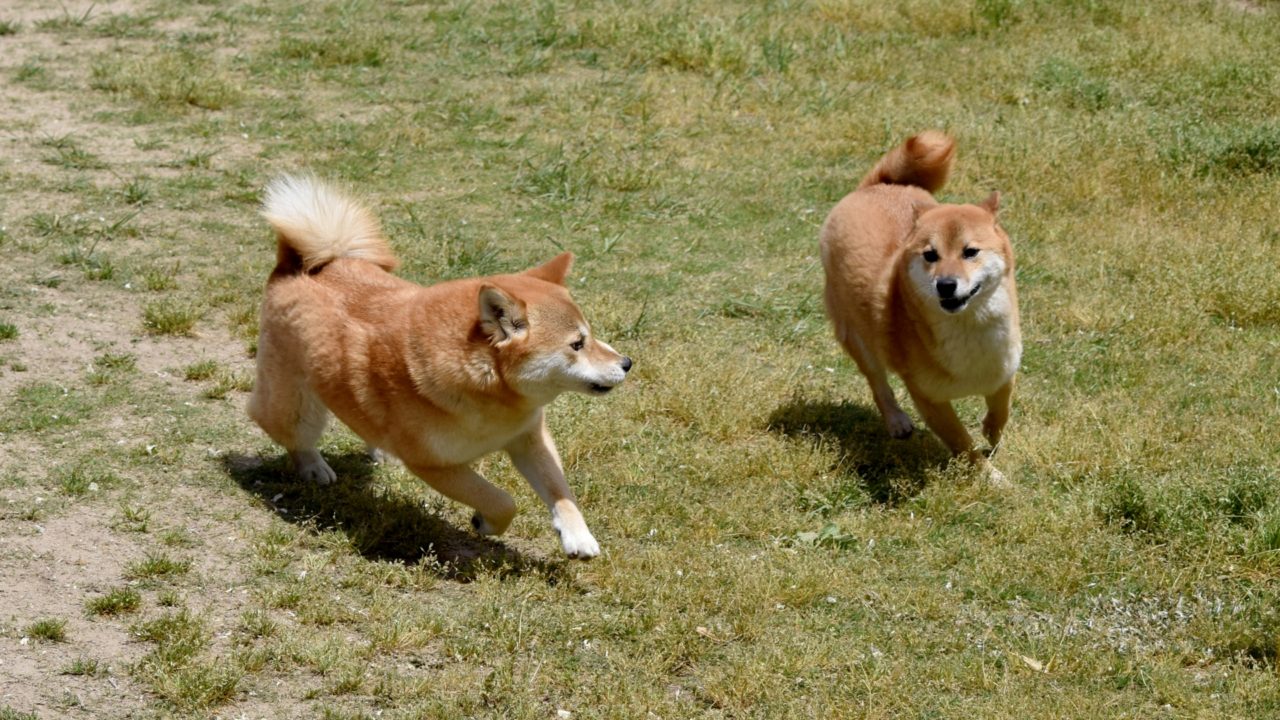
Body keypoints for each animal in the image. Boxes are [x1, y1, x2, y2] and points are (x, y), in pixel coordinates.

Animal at [244, 176, 629, 558]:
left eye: (591, 335)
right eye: (576, 345)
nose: (627, 362)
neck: (494, 398)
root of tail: (300, 264)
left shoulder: (530, 437)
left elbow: (560, 490)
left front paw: (577, 535)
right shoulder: (435, 465)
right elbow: (502, 501)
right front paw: (485, 522)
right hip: (294, 405)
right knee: (288, 432)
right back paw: (313, 466)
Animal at [824, 131, 1024, 484]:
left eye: (970, 252)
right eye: (930, 255)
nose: (946, 284)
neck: (970, 330)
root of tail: (874, 186)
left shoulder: (1004, 368)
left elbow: (1002, 410)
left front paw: (992, 432)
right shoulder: (929, 398)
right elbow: (963, 443)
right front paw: (991, 477)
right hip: (858, 338)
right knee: (878, 384)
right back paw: (896, 421)